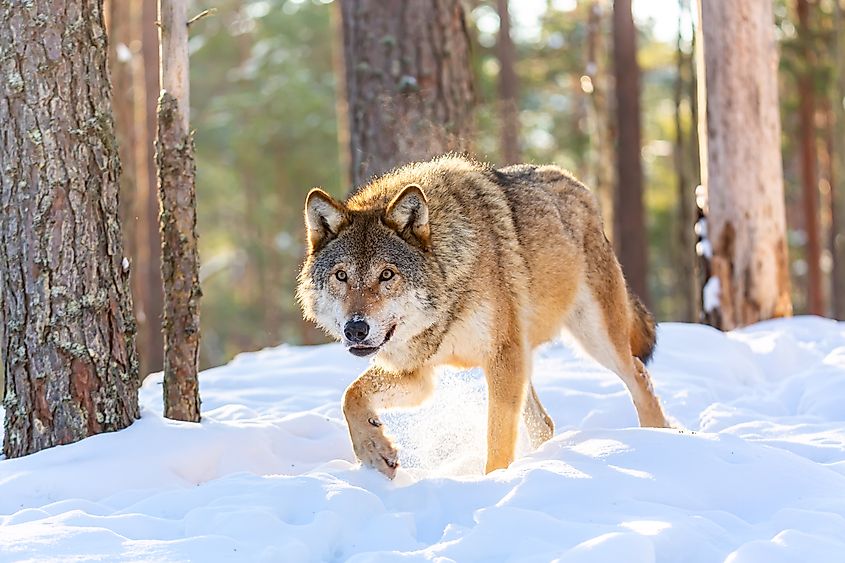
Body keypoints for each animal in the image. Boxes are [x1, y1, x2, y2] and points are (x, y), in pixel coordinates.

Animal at [296, 155, 664, 480]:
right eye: (342, 276)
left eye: (387, 275)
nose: (356, 329)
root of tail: (577, 184)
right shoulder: (417, 374)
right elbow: (350, 396)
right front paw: (375, 451)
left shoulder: (500, 357)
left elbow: (497, 438)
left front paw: (493, 483)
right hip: (529, 357)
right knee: (544, 423)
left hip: (593, 338)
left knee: (639, 375)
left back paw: (659, 442)